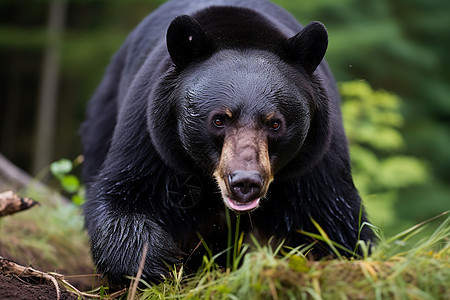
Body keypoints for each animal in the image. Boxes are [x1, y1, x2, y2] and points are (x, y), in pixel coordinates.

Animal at [81, 0, 372, 288]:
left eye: (275, 123)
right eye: (219, 120)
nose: (245, 182)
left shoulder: (315, 161)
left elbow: (334, 219)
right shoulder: (150, 139)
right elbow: (124, 196)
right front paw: (154, 261)